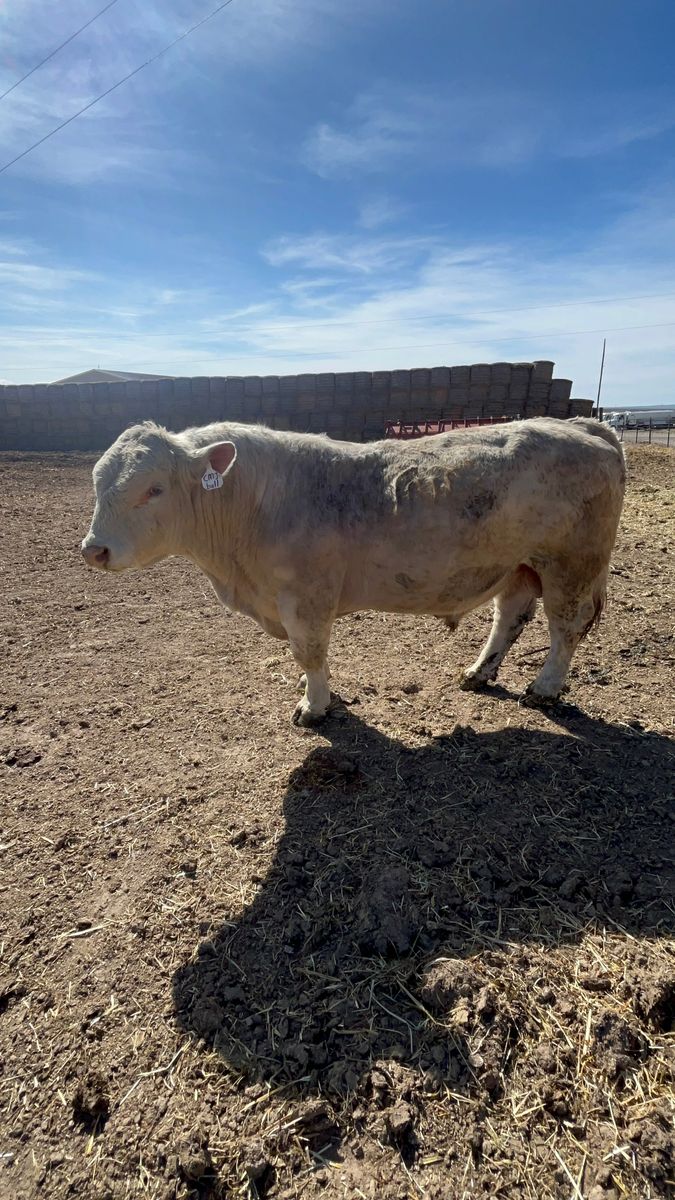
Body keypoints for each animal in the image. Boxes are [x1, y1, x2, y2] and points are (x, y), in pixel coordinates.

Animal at [82, 417, 625, 725]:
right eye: (97, 483)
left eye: (153, 489)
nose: (94, 549)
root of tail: (585, 426)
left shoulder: (305, 598)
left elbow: (309, 653)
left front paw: (314, 706)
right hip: (517, 566)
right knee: (510, 616)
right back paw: (478, 673)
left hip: (570, 565)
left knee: (565, 627)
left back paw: (545, 687)